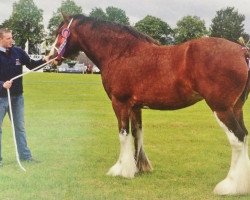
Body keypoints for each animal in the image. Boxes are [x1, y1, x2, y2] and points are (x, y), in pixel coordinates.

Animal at [47, 14, 250, 195]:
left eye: (60, 32)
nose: (50, 56)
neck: (120, 53)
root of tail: (242, 50)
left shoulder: (120, 104)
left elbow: (123, 135)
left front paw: (121, 170)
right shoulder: (135, 107)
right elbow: (137, 134)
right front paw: (138, 167)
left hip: (221, 109)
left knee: (237, 138)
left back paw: (230, 186)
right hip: (236, 108)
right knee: (244, 135)